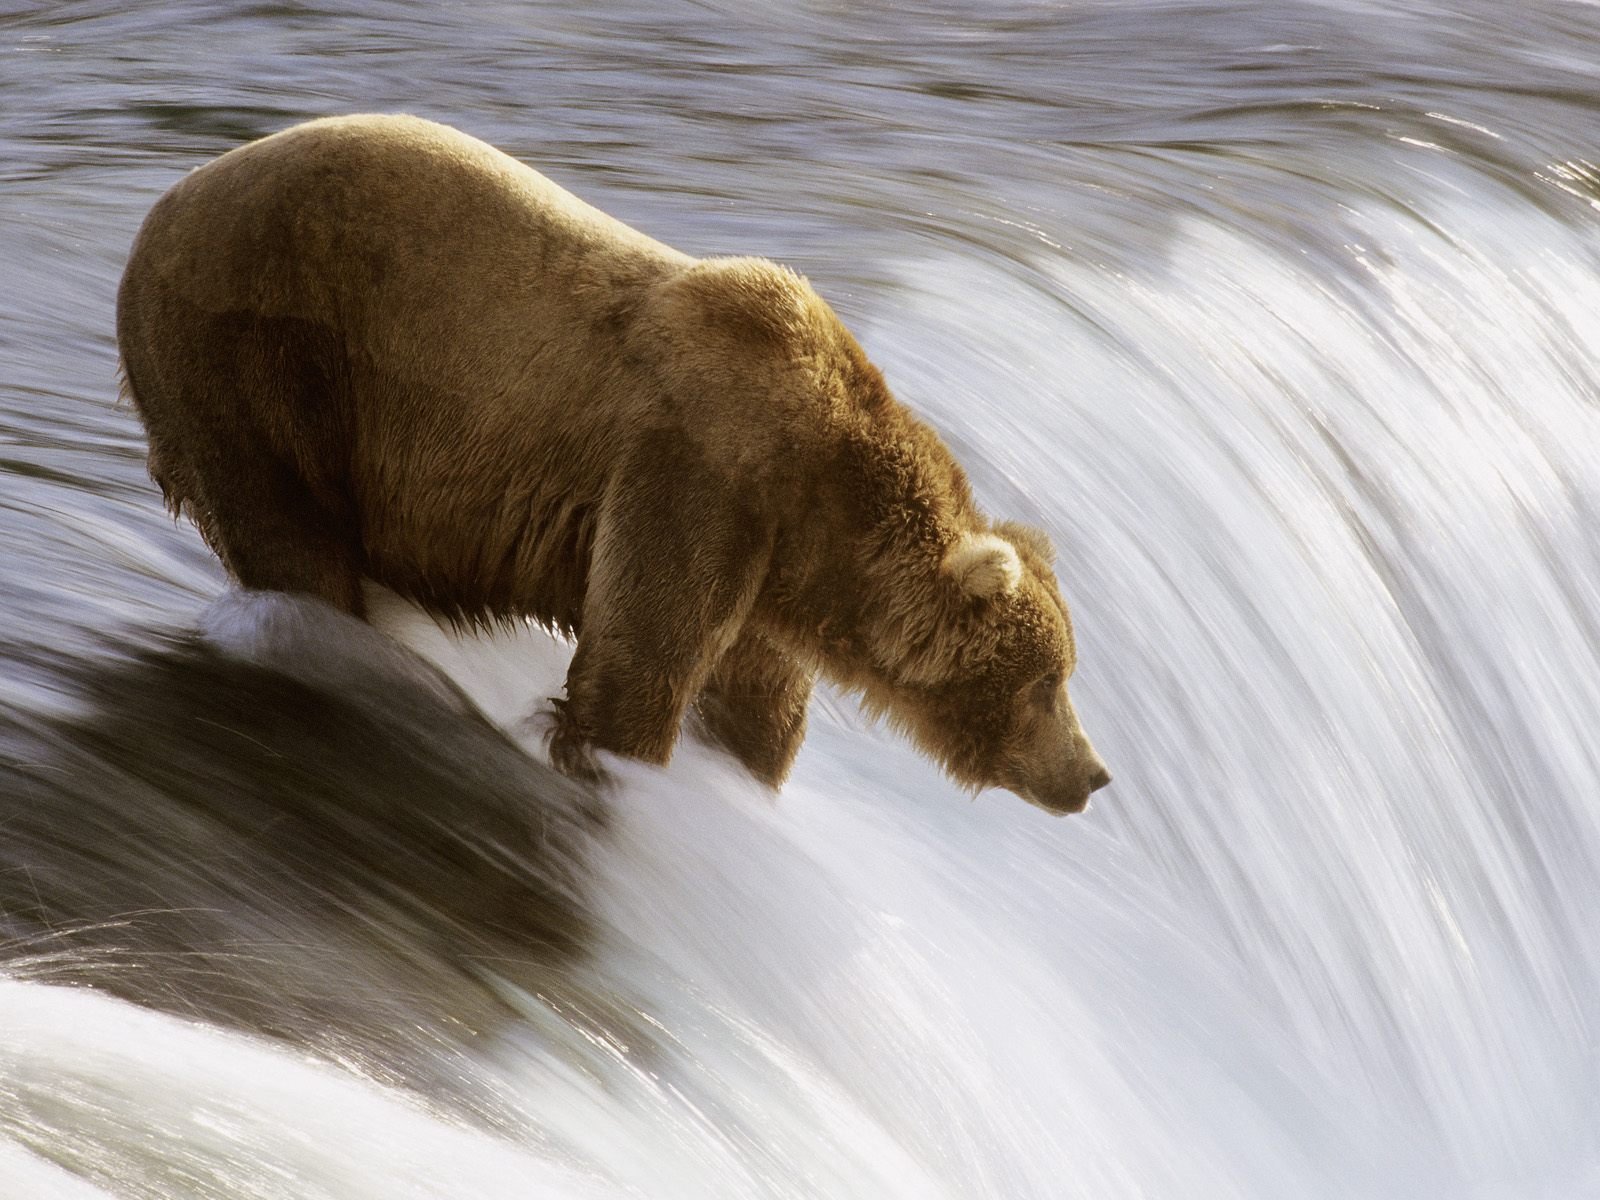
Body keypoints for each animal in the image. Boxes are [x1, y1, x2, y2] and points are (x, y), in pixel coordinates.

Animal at [116, 114, 1112, 813]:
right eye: (1047, 681)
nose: (1094, 773)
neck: (821, 502)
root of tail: (160, 208)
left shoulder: (767, 569)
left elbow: (755, 706)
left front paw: (741, 775)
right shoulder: (698, 473)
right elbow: (640, 664)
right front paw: (617, 768)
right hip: (263, 355)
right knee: (290, 536)